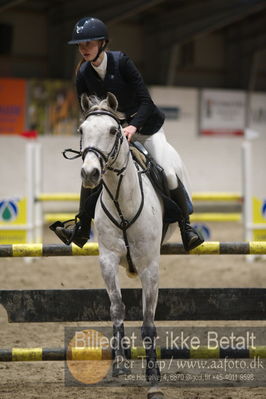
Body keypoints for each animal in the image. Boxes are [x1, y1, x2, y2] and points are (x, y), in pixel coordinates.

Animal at [66, 93, 176, 396]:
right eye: (81, 130)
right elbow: (117, 308)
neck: (120, 199)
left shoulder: (150, 266)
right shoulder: (107, 260)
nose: (90, 174)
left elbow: (148, 322)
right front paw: (119, 364)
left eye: (114, 131)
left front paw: (153, 378)